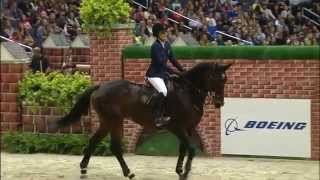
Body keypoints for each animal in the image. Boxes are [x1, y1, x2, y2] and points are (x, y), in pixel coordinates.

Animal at [53, 62, 231, 179]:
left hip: (106, 121)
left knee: (94, 141)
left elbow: (183, 149)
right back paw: (129, 173)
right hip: (114, 120)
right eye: (217, 79)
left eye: (225, 80)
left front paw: (180, 170)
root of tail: (100, 87)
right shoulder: (176, 127)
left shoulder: (189, 128)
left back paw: (84, 170)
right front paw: (185, 173)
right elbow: (192, 149)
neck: (187, 92)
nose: (219, 103)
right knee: (115, 147)